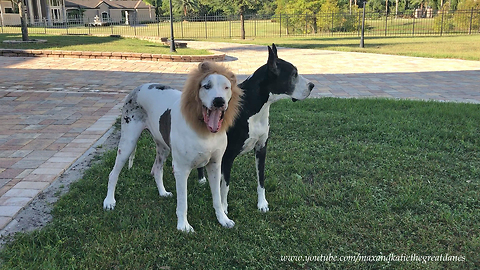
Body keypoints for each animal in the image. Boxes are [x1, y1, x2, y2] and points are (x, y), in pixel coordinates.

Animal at [103, 61, 242, 232]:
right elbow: (183, 202)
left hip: (163, 148)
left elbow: (217, 198)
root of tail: (138, 88)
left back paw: (162, 192)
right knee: (113, 173)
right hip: (128, 143)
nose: (219, 101)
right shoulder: (181, 170)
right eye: (206, 86)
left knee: (156, 169)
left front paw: (223, 219)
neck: (203, 130)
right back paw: (109, 201)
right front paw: (183, 226)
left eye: (226, 87)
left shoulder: (215, 166)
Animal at [197, 43, 314, 213]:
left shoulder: (261, 148)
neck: (253, 106)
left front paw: (262, 203)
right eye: (294, 74)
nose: (312, 86)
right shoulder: (228, 155)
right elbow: (225, 186)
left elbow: (261, 179)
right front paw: (224, 208)